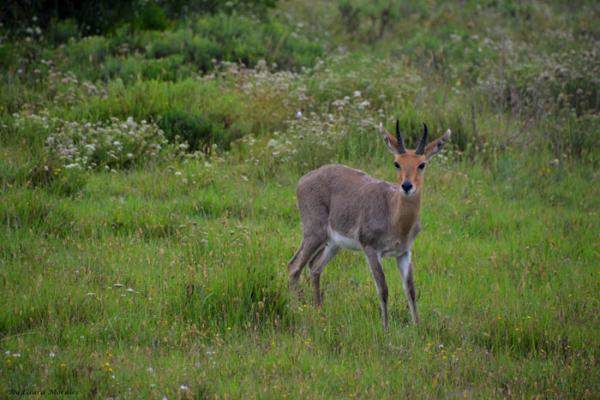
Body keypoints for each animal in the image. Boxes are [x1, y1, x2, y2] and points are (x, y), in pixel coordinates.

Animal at [286, 120, 450, 330]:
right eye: (397, 163)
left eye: (422, 164)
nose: (407, 186)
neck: (394, 216)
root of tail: (304, 179)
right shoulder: (371, 249)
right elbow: (383, 289)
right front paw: (386, 329)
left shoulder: (404, 253)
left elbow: (411, 290)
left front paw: (417, 328)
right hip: (314, 234)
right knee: (294, 267)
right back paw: (297, 311)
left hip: (333, 243)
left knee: (314, 266)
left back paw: (319, 311)